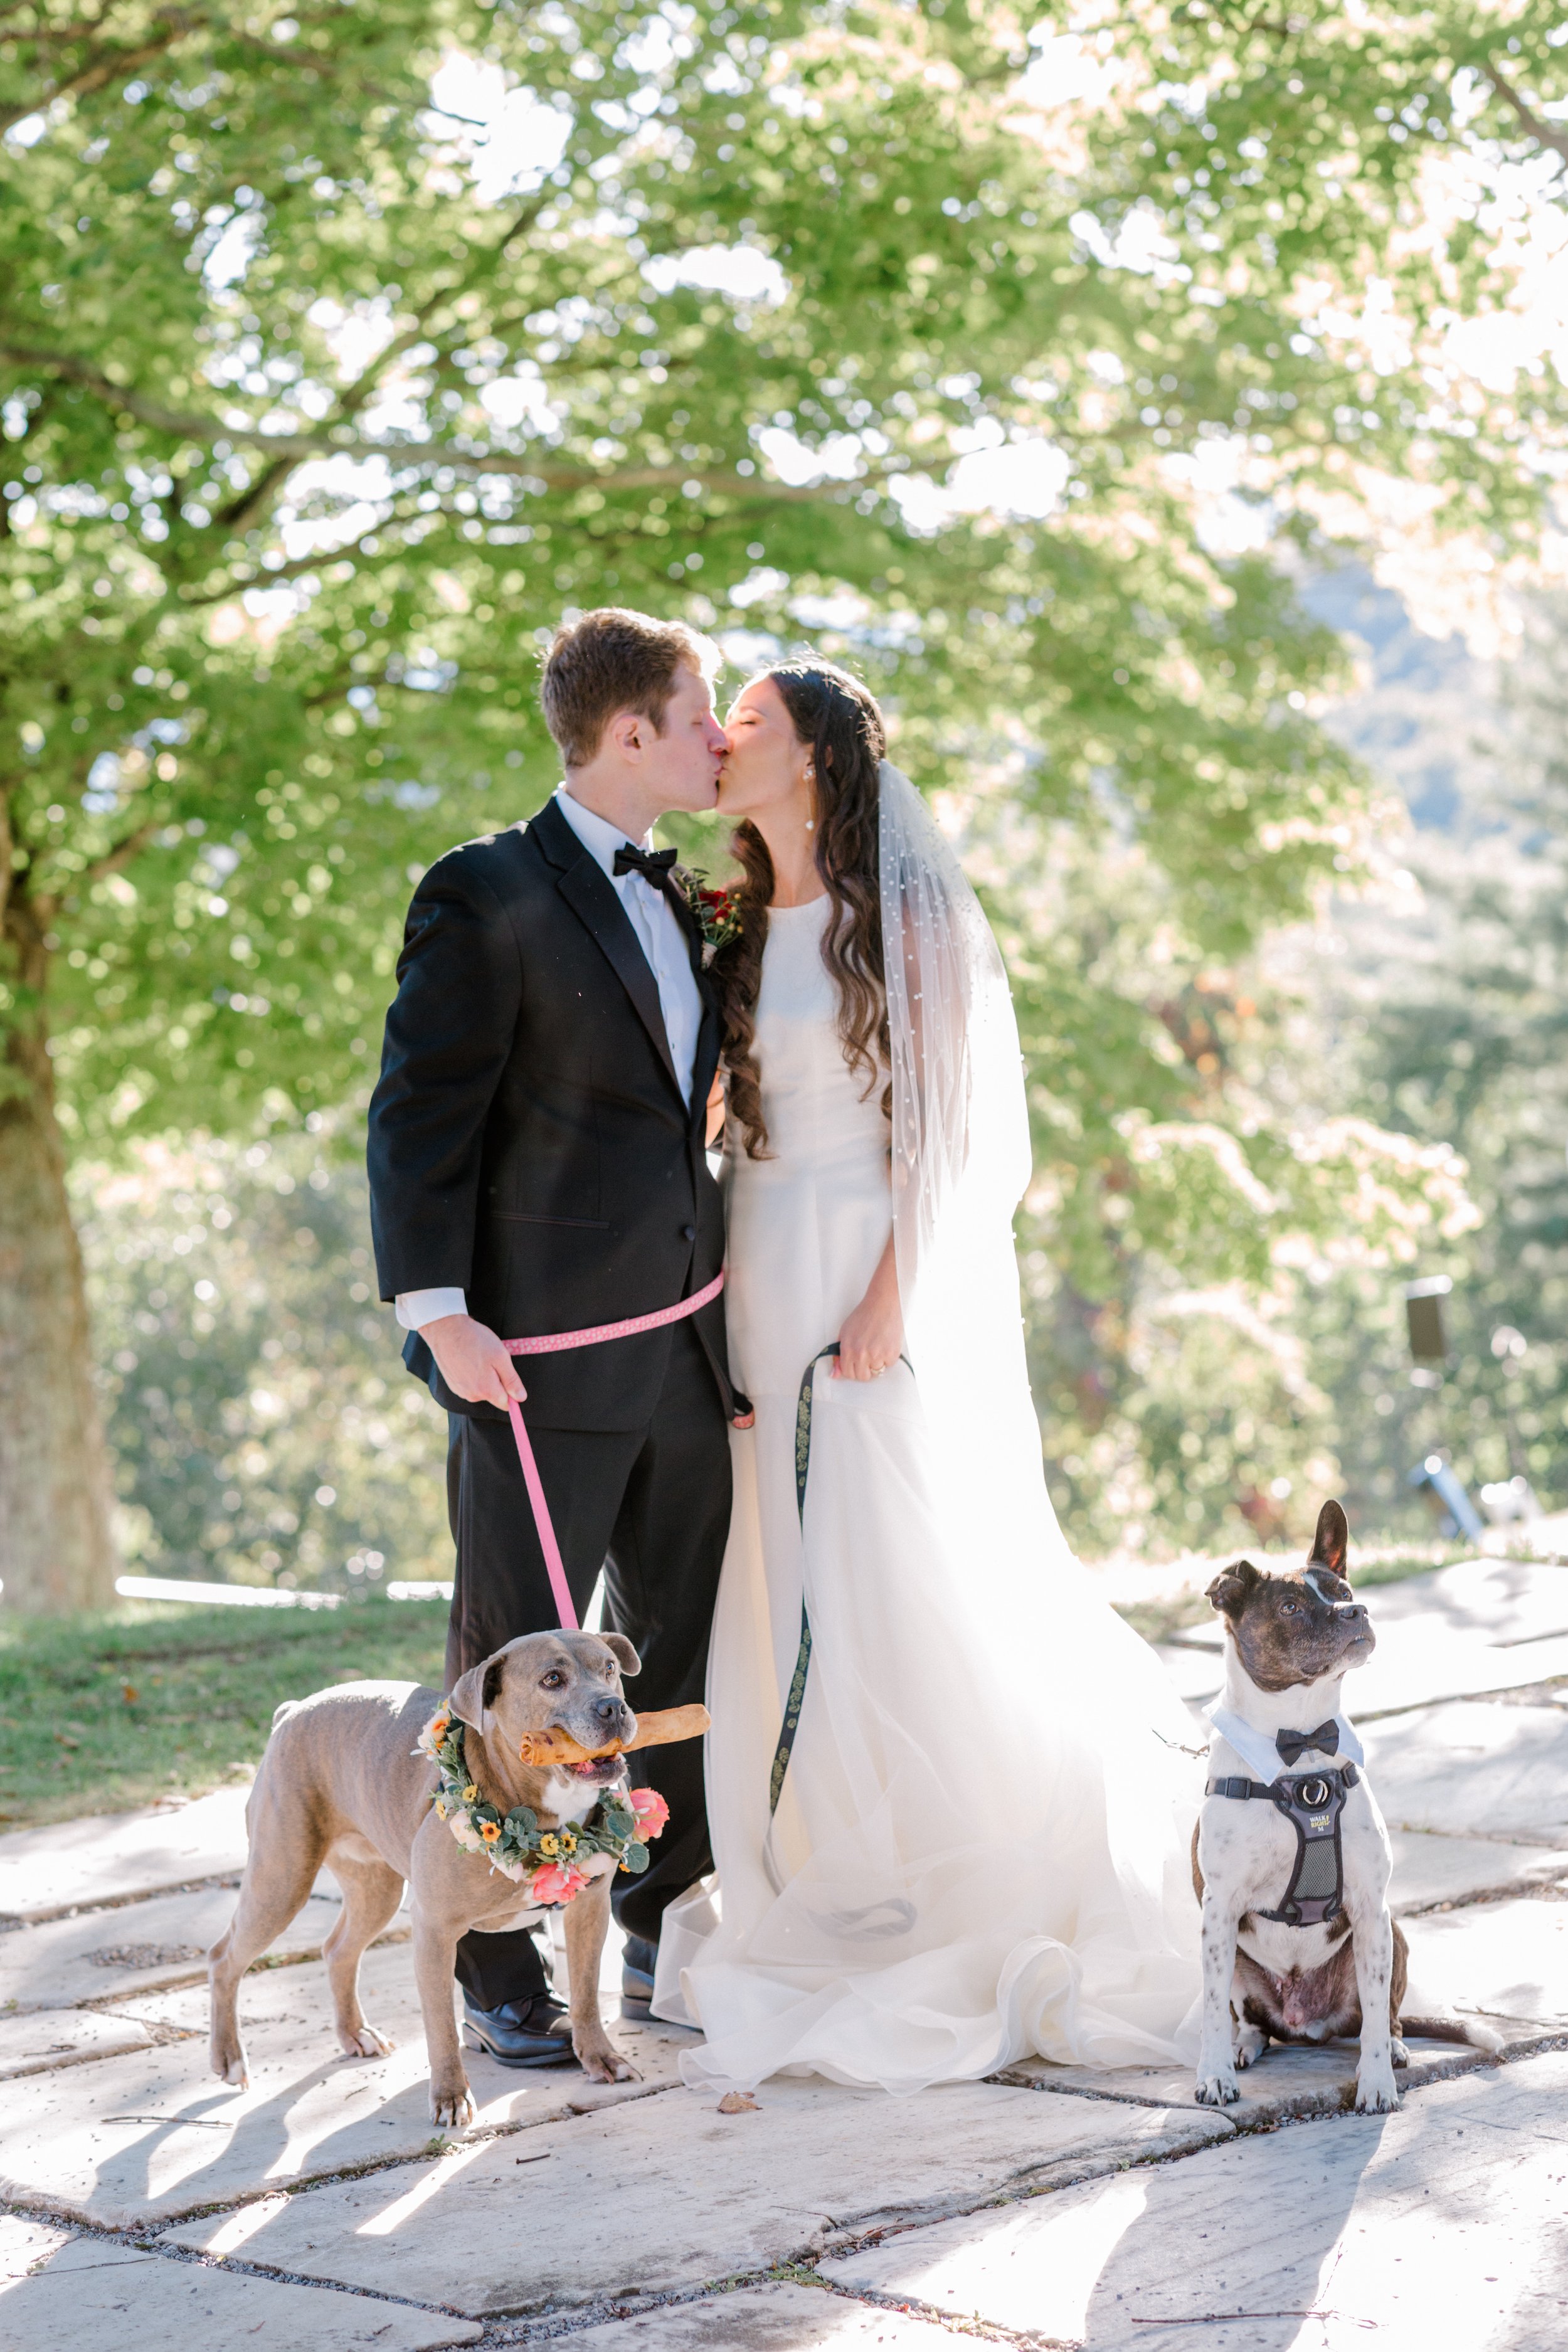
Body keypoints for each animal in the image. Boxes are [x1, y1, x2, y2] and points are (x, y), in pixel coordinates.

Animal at [211, 1637, 649, 2136]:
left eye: (610, 1668)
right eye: (552, 1679)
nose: (613, 1706)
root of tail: (292, 1711)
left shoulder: (589, 1911)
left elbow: (588, 1993)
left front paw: (601, 2058)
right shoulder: (436, 1932)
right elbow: (439, 2023)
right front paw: (450, 2097)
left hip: (376, 1890)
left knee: (338, 1949)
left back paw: (354, 2034)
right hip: (282, 1880)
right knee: (224, 1958)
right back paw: (229, 2061)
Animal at [1194, 1505, 1495, 2117]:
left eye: (1344, 1591)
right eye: (1289, 1607)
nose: (1355, 1611)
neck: (1302, 1745)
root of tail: (1305, 2024)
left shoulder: (1369, 1907)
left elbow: (1377, 2018)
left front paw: (1376, 2083)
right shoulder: (1218, 1911)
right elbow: (1212, 2008)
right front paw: (1214, 2075)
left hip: (1391, 1933)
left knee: (1383, 2017)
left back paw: (1397, 2049)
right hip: (1239, 1963)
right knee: (1250, 2021)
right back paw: (1243, 2046)